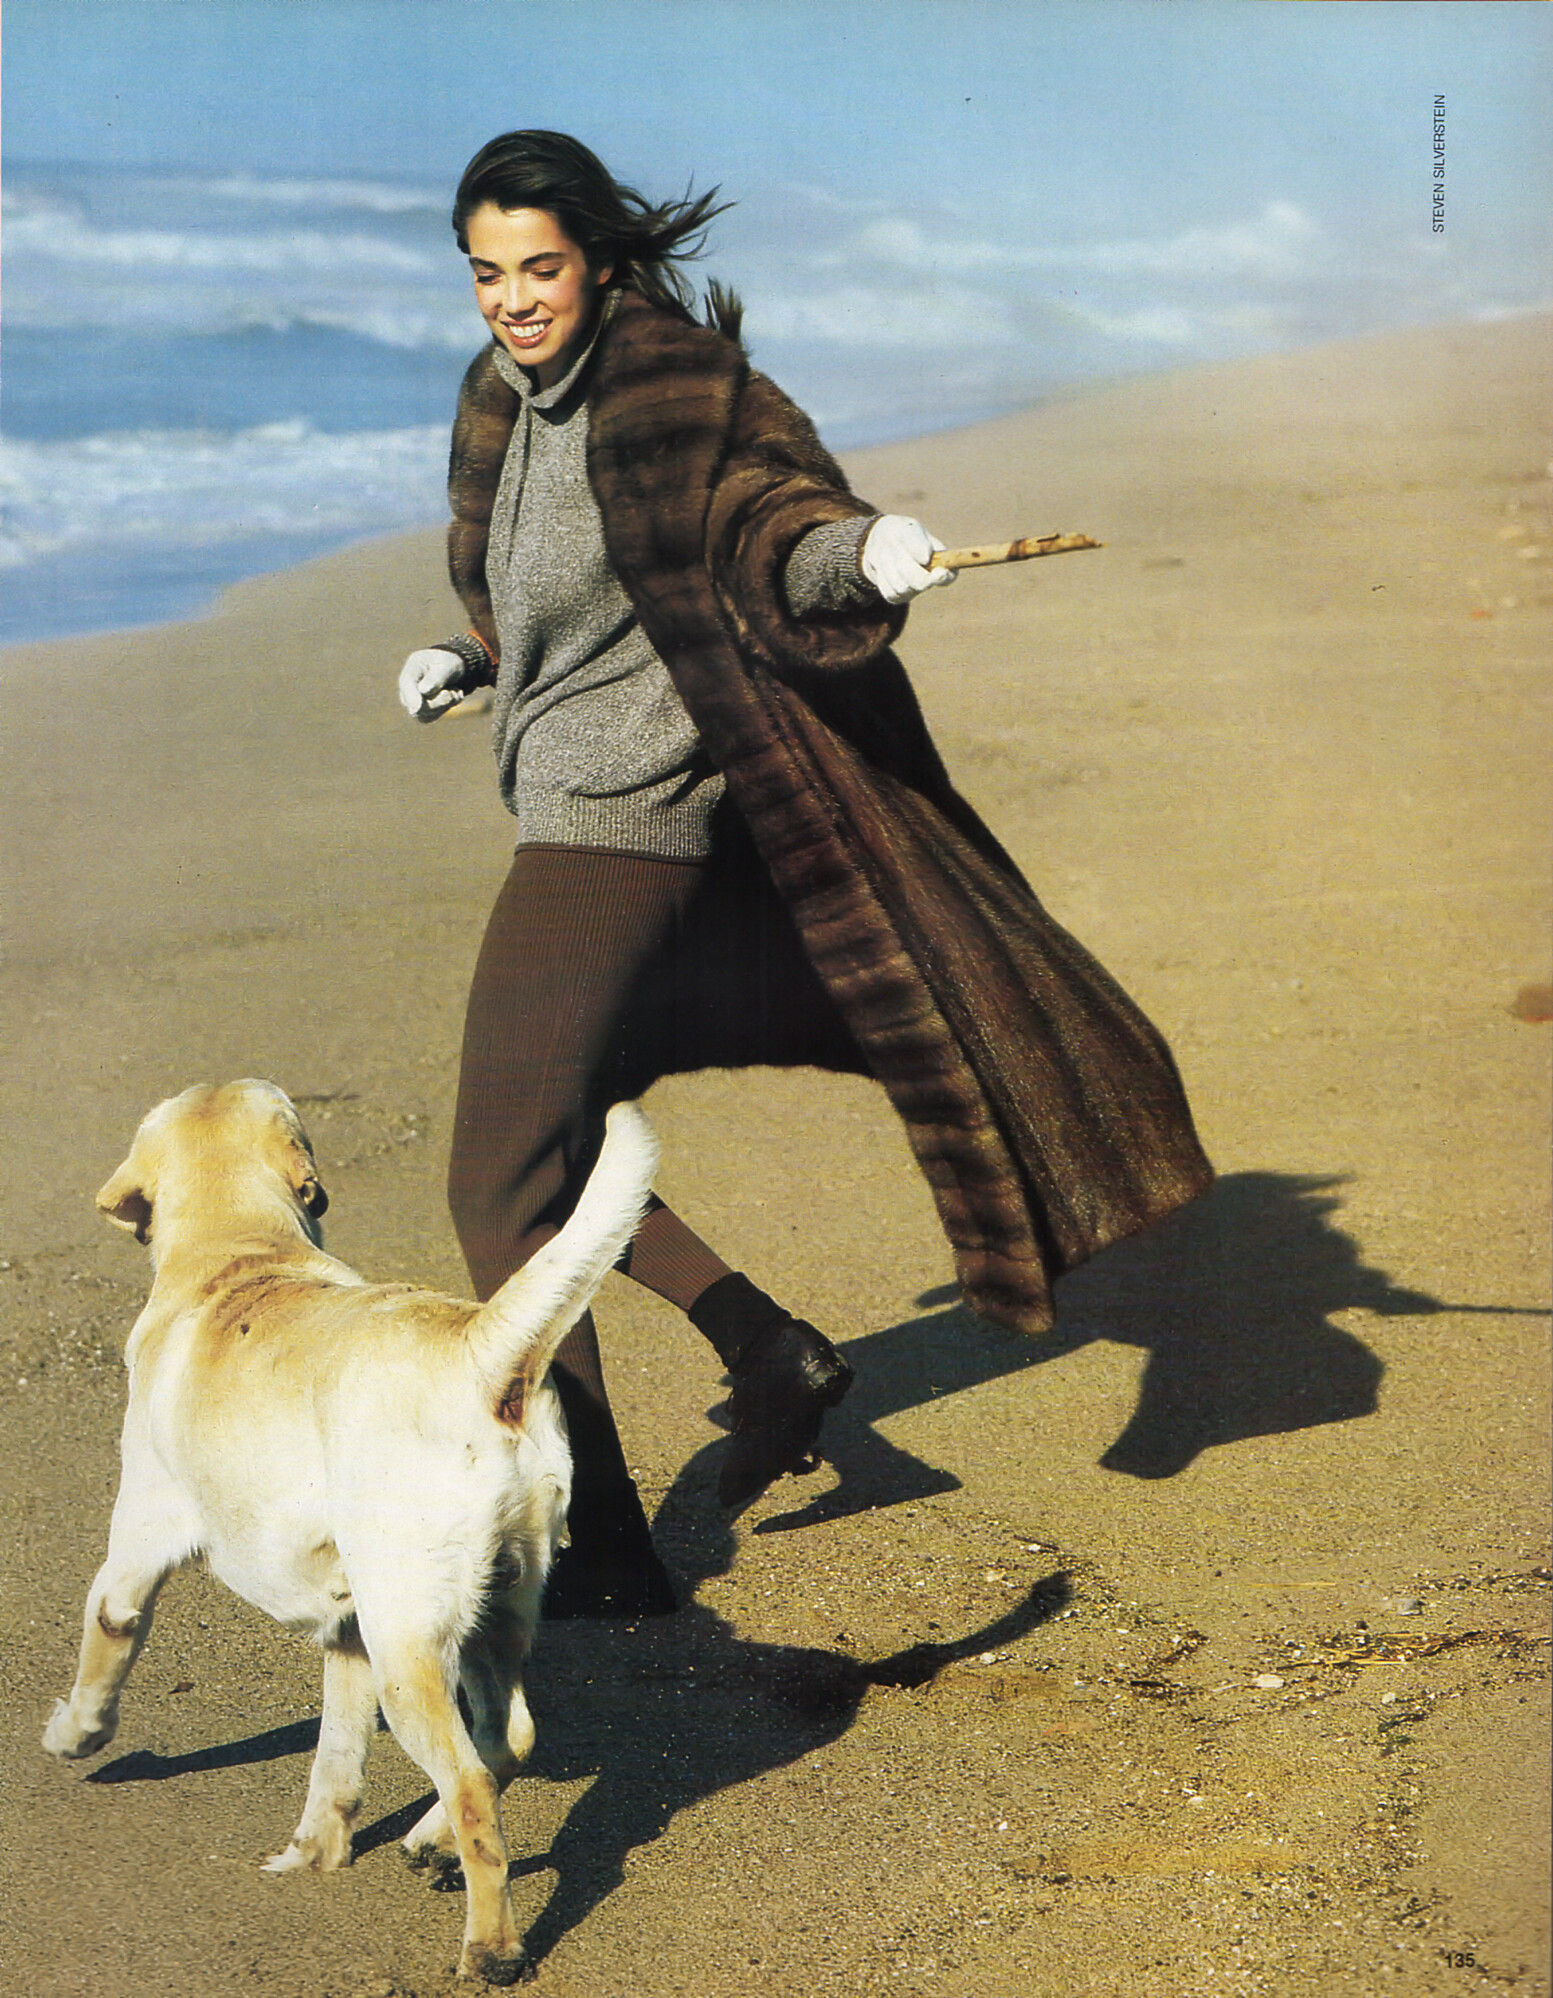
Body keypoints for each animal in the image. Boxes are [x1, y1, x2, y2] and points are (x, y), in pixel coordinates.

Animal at [43, 1079, 657, 1986]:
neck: (242, 1251)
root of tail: (476, 1351)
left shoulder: (131, 1560)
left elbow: (100, 1660)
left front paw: (73, 1736)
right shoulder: (346, 1636)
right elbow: (335, 1760)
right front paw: (314, 1851)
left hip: (410, 1649)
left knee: (473, 1783)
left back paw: (492, 1946)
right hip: (489, 1610)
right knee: (507, 1738)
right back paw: (428, 1845)